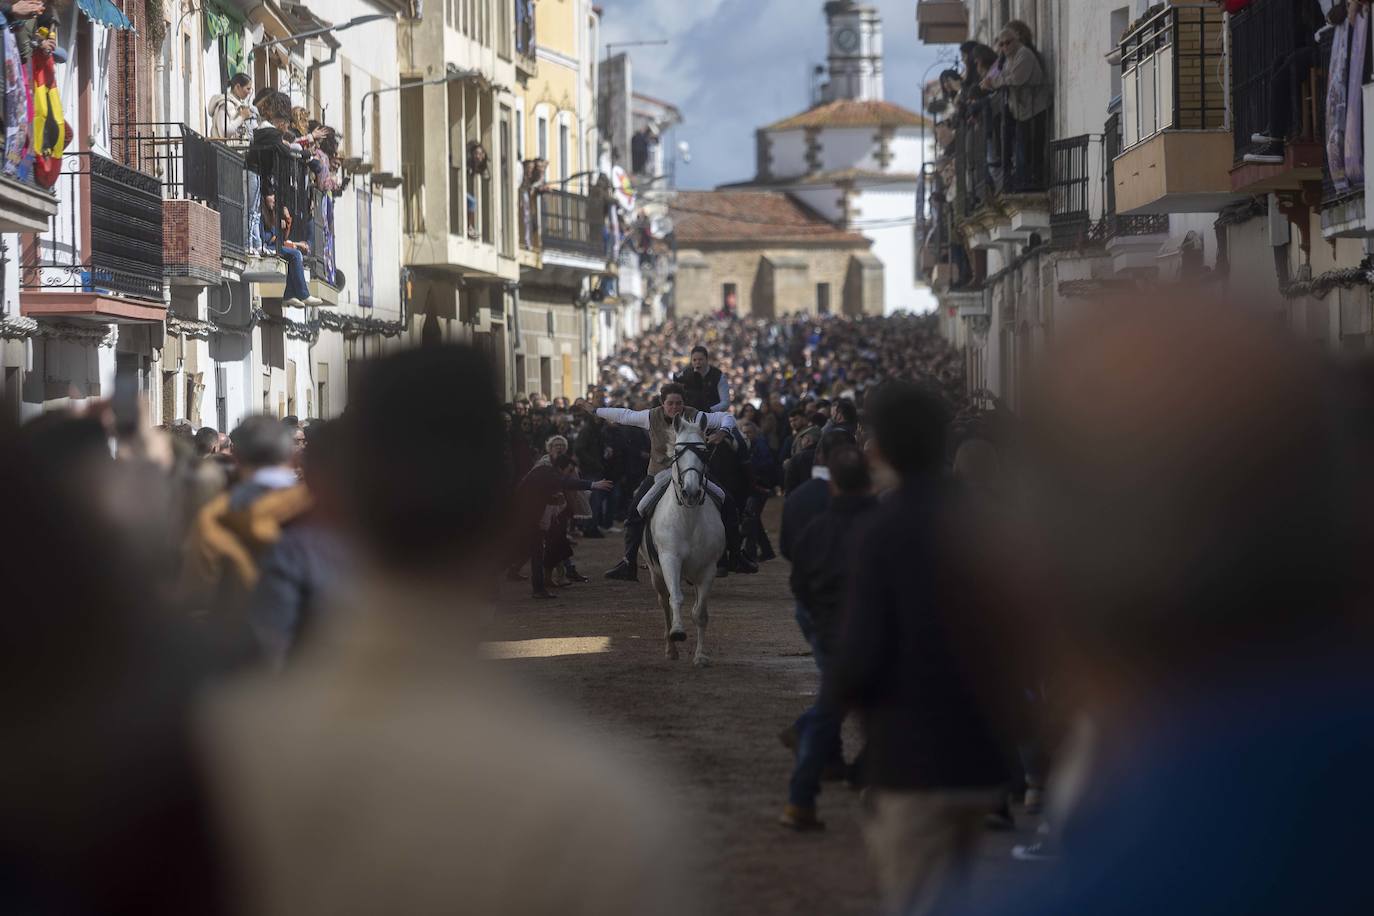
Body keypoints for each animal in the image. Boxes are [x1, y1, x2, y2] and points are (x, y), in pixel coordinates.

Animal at [645, 414, 730, 667]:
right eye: (677, 451)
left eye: (704, 451)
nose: (691, 492)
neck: (689, 518)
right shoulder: (669, 560)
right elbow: (676, 599)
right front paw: (678, 632)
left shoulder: (708, 568)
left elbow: (700, 613)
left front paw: (700, 656)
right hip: (655, 573)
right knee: (664, 603)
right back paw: (671, 648)